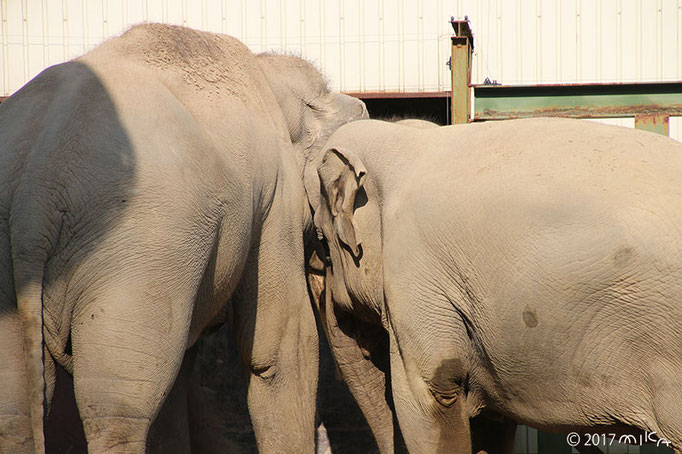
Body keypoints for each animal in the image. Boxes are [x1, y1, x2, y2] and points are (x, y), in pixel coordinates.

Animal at [0, 24, 366, 454]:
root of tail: (35, 185)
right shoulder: (276, 200)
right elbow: (280, 348)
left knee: (16, 410)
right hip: (140, 253)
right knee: (118, 407)